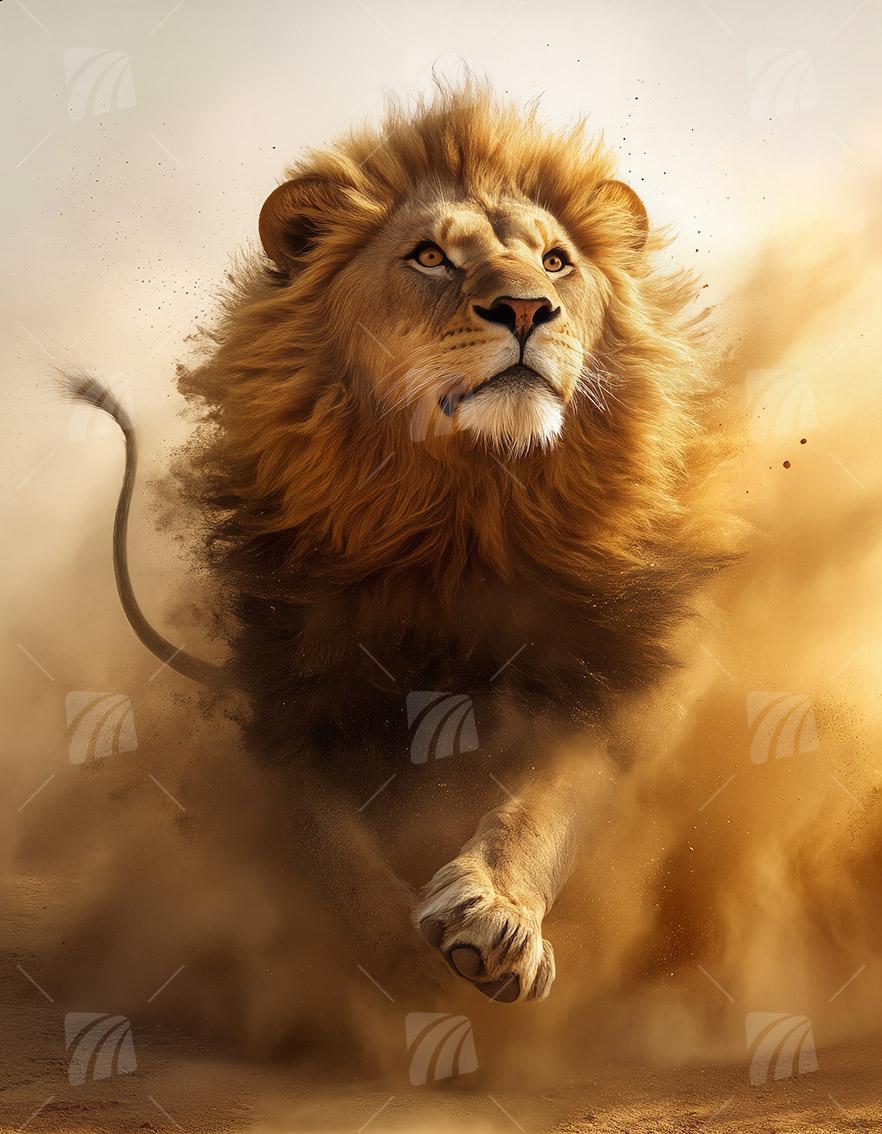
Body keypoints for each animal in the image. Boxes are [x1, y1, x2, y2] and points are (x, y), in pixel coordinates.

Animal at [66, 83, 735, 1007]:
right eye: (429, 258)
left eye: (556, 262)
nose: (527, 309)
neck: (459, 508)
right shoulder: (292, 701)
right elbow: (330, 845)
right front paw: (395, 958)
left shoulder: (598, 686)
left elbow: (543, 807)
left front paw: (494, 916)